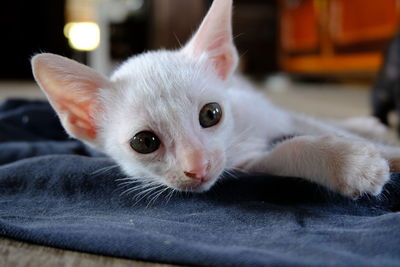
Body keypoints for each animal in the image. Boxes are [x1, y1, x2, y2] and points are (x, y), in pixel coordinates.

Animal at [30, 0, 400, 199]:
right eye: (145, 142)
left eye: (211, 114)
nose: (198, 168)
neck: (239, 134)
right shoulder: (248, 164)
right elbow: (287, 150)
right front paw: (352, 164)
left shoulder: (267, 115)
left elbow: (317, 127)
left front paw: (382, 152)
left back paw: (369, 125)